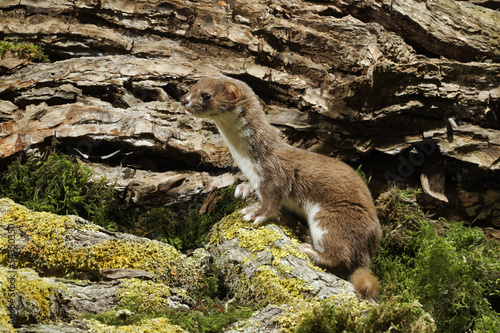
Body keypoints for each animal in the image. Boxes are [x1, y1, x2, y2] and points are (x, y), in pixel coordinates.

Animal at [182, 75, 380, 298]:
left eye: (206, 95)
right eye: (192, 87)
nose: (183, 100)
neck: (245, 159)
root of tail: (370, 243)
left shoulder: (272, 175)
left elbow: (271, 201)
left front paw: (255, 212)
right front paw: (245, 188)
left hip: (331, 217)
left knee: (342, 256)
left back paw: (309, 249)